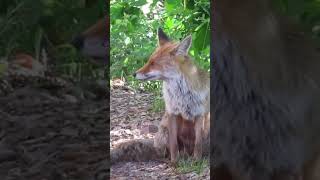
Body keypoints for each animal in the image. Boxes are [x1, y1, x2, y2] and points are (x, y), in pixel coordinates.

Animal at [133, 27, 210, 163]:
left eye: (153, 63)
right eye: (149, 61)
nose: (134, 74)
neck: (183, 95)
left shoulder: (199, 114)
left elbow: (198, 143)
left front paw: (197, 161)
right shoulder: (172, 113)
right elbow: (174, 144)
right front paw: (175, 162)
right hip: (164, 132)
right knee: (165, 151)